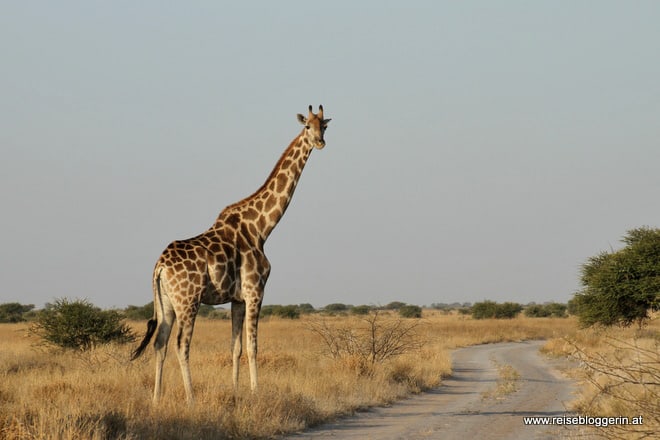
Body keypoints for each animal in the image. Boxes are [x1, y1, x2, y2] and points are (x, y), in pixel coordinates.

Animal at [132, 105, 332, 402]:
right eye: (307, 126)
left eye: (325, 126)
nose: (320, 142)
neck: (261, 228)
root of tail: (159, 266)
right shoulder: (255, 291)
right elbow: (252, 347)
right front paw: (256, 391)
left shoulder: (237, 299)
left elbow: (235, 348)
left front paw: (236, 391)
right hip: (188, 301)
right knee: (181, 344)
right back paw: (191, 398)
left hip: (166, 302)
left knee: (160, 342)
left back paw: (156, 399)